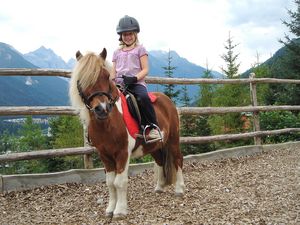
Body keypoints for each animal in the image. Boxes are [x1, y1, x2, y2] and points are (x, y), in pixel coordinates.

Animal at [69, 48, 184, 219]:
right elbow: (110, 183)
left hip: (173, 139)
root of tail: (167, 100)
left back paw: (179, 189)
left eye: (106, 76)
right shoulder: (105, 155)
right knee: (160, 161)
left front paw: (120, 211)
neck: (108, 123)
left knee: (178, 159)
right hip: (155, 145)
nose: (102, 109)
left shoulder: (122, 153)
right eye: (81, 81)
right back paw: (159, 187)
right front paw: (110, 209)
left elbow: (119, 182)